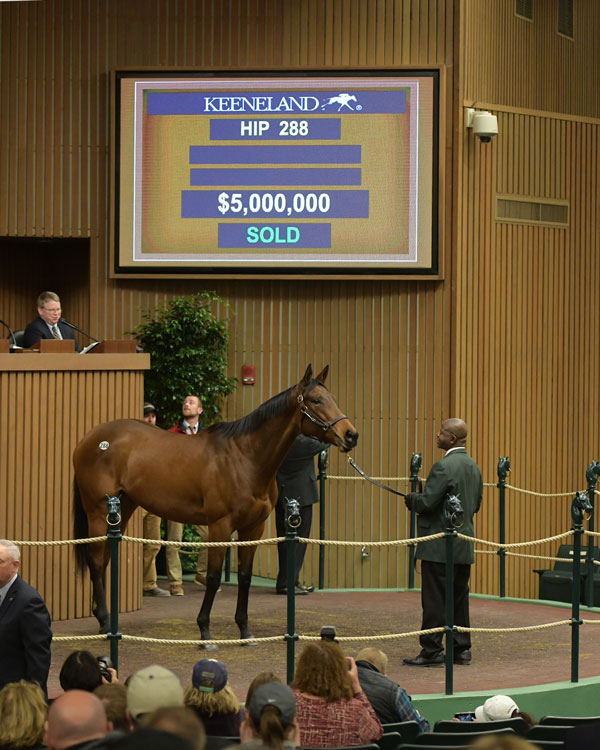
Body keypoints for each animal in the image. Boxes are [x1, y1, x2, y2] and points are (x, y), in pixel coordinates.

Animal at [73, 366, 358, 648]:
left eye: (332, 397)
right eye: (316, 400)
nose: (351, 435)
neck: (245, 458)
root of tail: (89, 439)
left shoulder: (253, 528)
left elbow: (244, 576)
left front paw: (245, 631)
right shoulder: (219, 526)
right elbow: (212, 577)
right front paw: (205, 631)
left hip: (122, 509)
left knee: (104, 559)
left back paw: (104, 619)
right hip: (98, 511)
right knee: (96, 562)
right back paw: (106, 622)